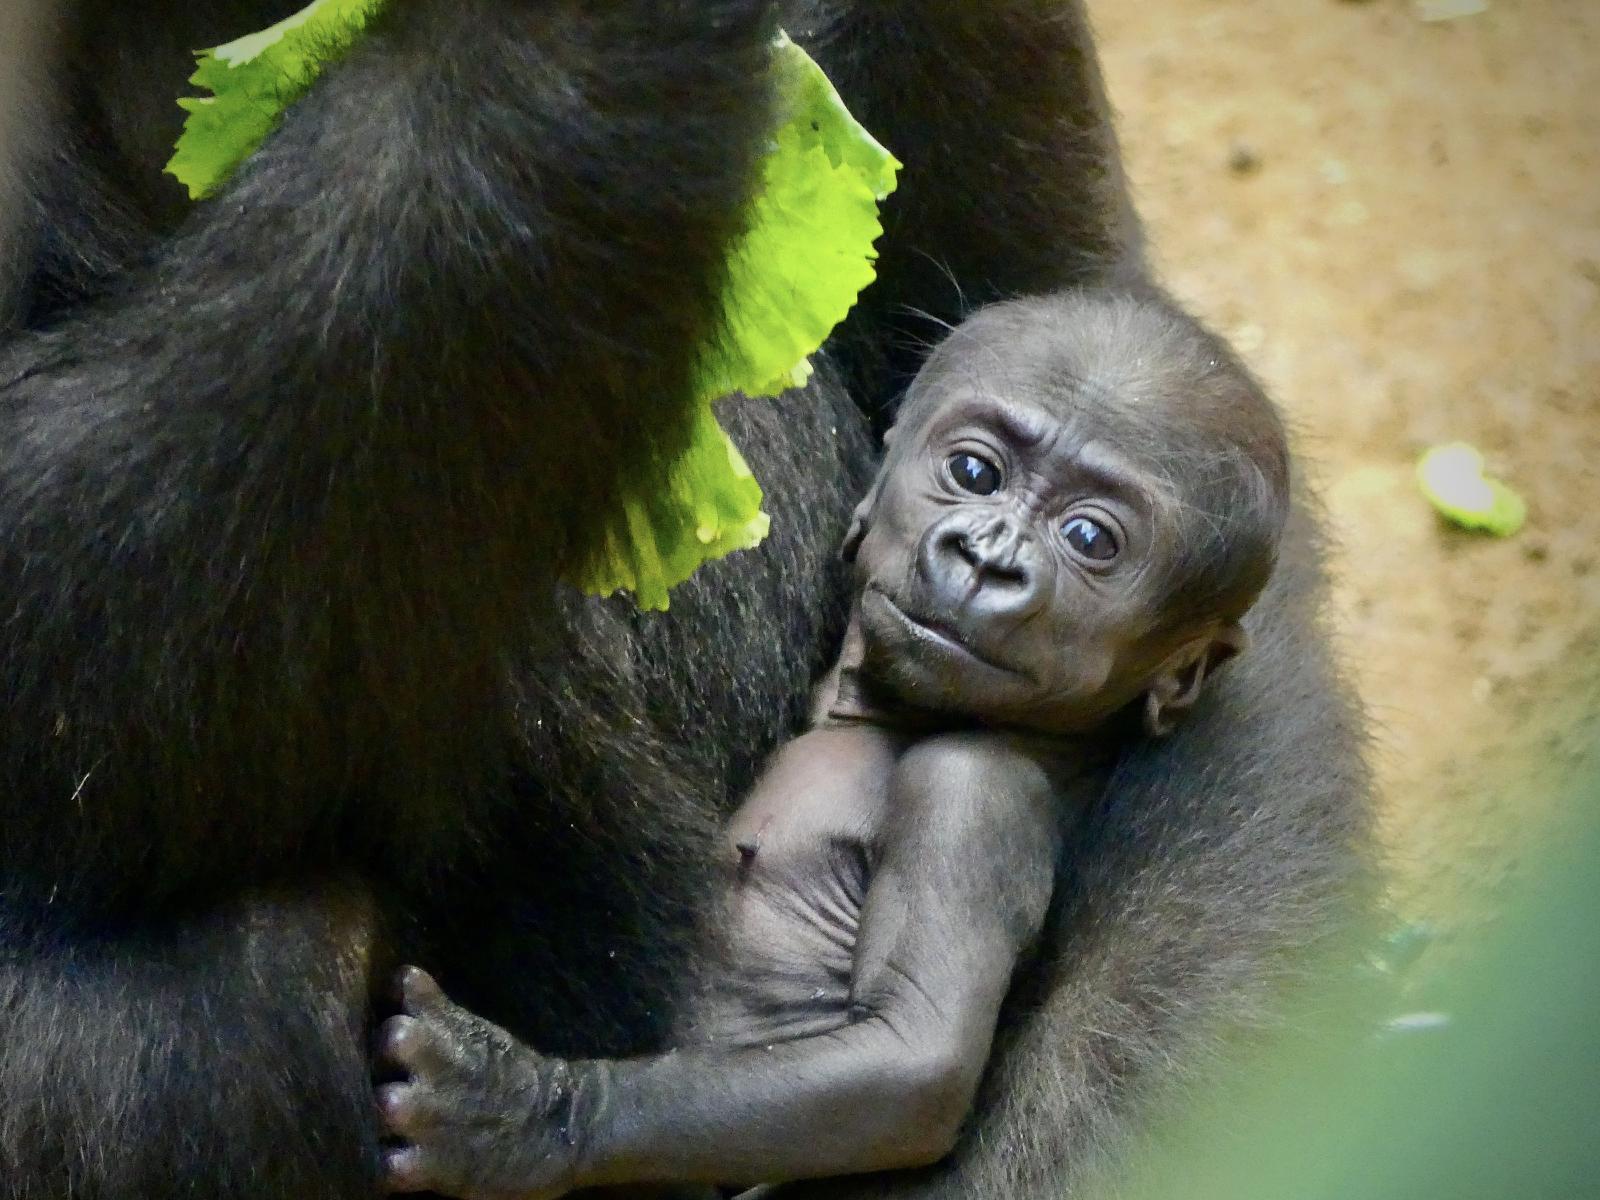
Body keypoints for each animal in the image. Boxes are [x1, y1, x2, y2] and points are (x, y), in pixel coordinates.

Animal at [380, 294, 1292, 1200]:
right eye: (974, 474)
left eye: (1090, 539)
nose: (986, 559)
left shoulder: (970, 789)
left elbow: (914, 1058)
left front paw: (536, 1116)